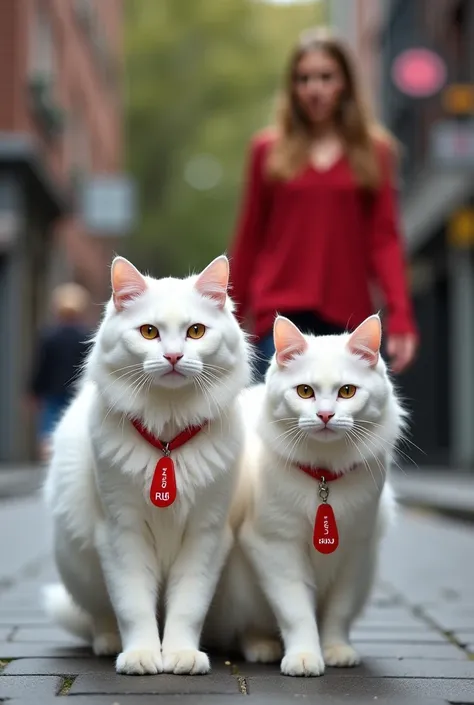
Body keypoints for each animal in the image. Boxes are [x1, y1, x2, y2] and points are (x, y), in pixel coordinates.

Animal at [42, 256, 254, 672]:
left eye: (195, 332)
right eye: (149, 332)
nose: (173, 357)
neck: (167, 441)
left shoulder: (206, 533)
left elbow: (188, 606)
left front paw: (181, 655)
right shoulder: (121, 531)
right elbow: (133, 605)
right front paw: (141, 656)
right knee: (101, 617)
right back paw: (108, 644)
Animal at [206, 314, 406, 676]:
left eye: (346, 392)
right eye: (305, 391)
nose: (325, 415)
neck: (324, 478)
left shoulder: (356, 551)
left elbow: (338, 613)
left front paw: (336, 650)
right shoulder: (275, 546)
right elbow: (295, 611)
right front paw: (304, 657)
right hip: (239, 591)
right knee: (245, 630)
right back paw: (263, 648)